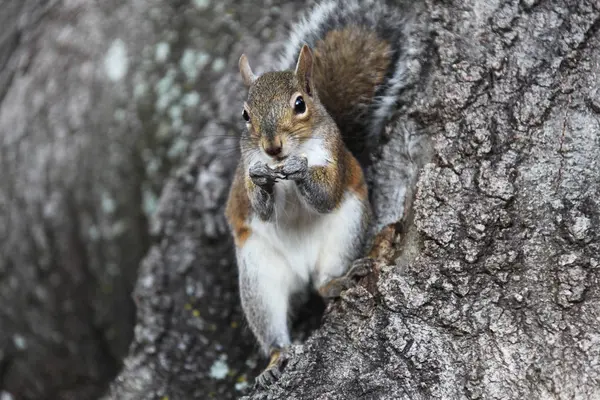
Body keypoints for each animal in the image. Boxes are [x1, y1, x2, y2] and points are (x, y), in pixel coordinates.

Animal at [225, 0, 418, 388]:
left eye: (300, 104)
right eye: (245, 115)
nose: (272, 148)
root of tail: (301, 271)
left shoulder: (335, 159)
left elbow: (326, 195)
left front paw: (301, 169)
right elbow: (260, 207)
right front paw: (263, 182)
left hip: (343, 234)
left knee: (321, 284)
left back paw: (338, 281)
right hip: (259, 274)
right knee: (273, 328)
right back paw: (275, 361)